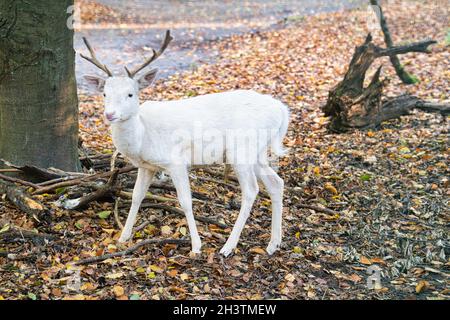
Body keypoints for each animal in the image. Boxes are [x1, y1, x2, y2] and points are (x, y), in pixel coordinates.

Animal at [81, 31, 288, 256]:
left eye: (130, 94)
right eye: (104, 94)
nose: (110, 114)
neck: (143, 137)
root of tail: (281, 110)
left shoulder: (176, 162)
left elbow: (185, 202)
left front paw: (196, 246)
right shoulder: (147, 167)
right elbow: (137, 196)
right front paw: (123, 237)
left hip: (242, 149)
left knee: (251, 190)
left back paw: (228, 246)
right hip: (257, 152)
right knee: (276, 183)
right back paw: (273, 244)